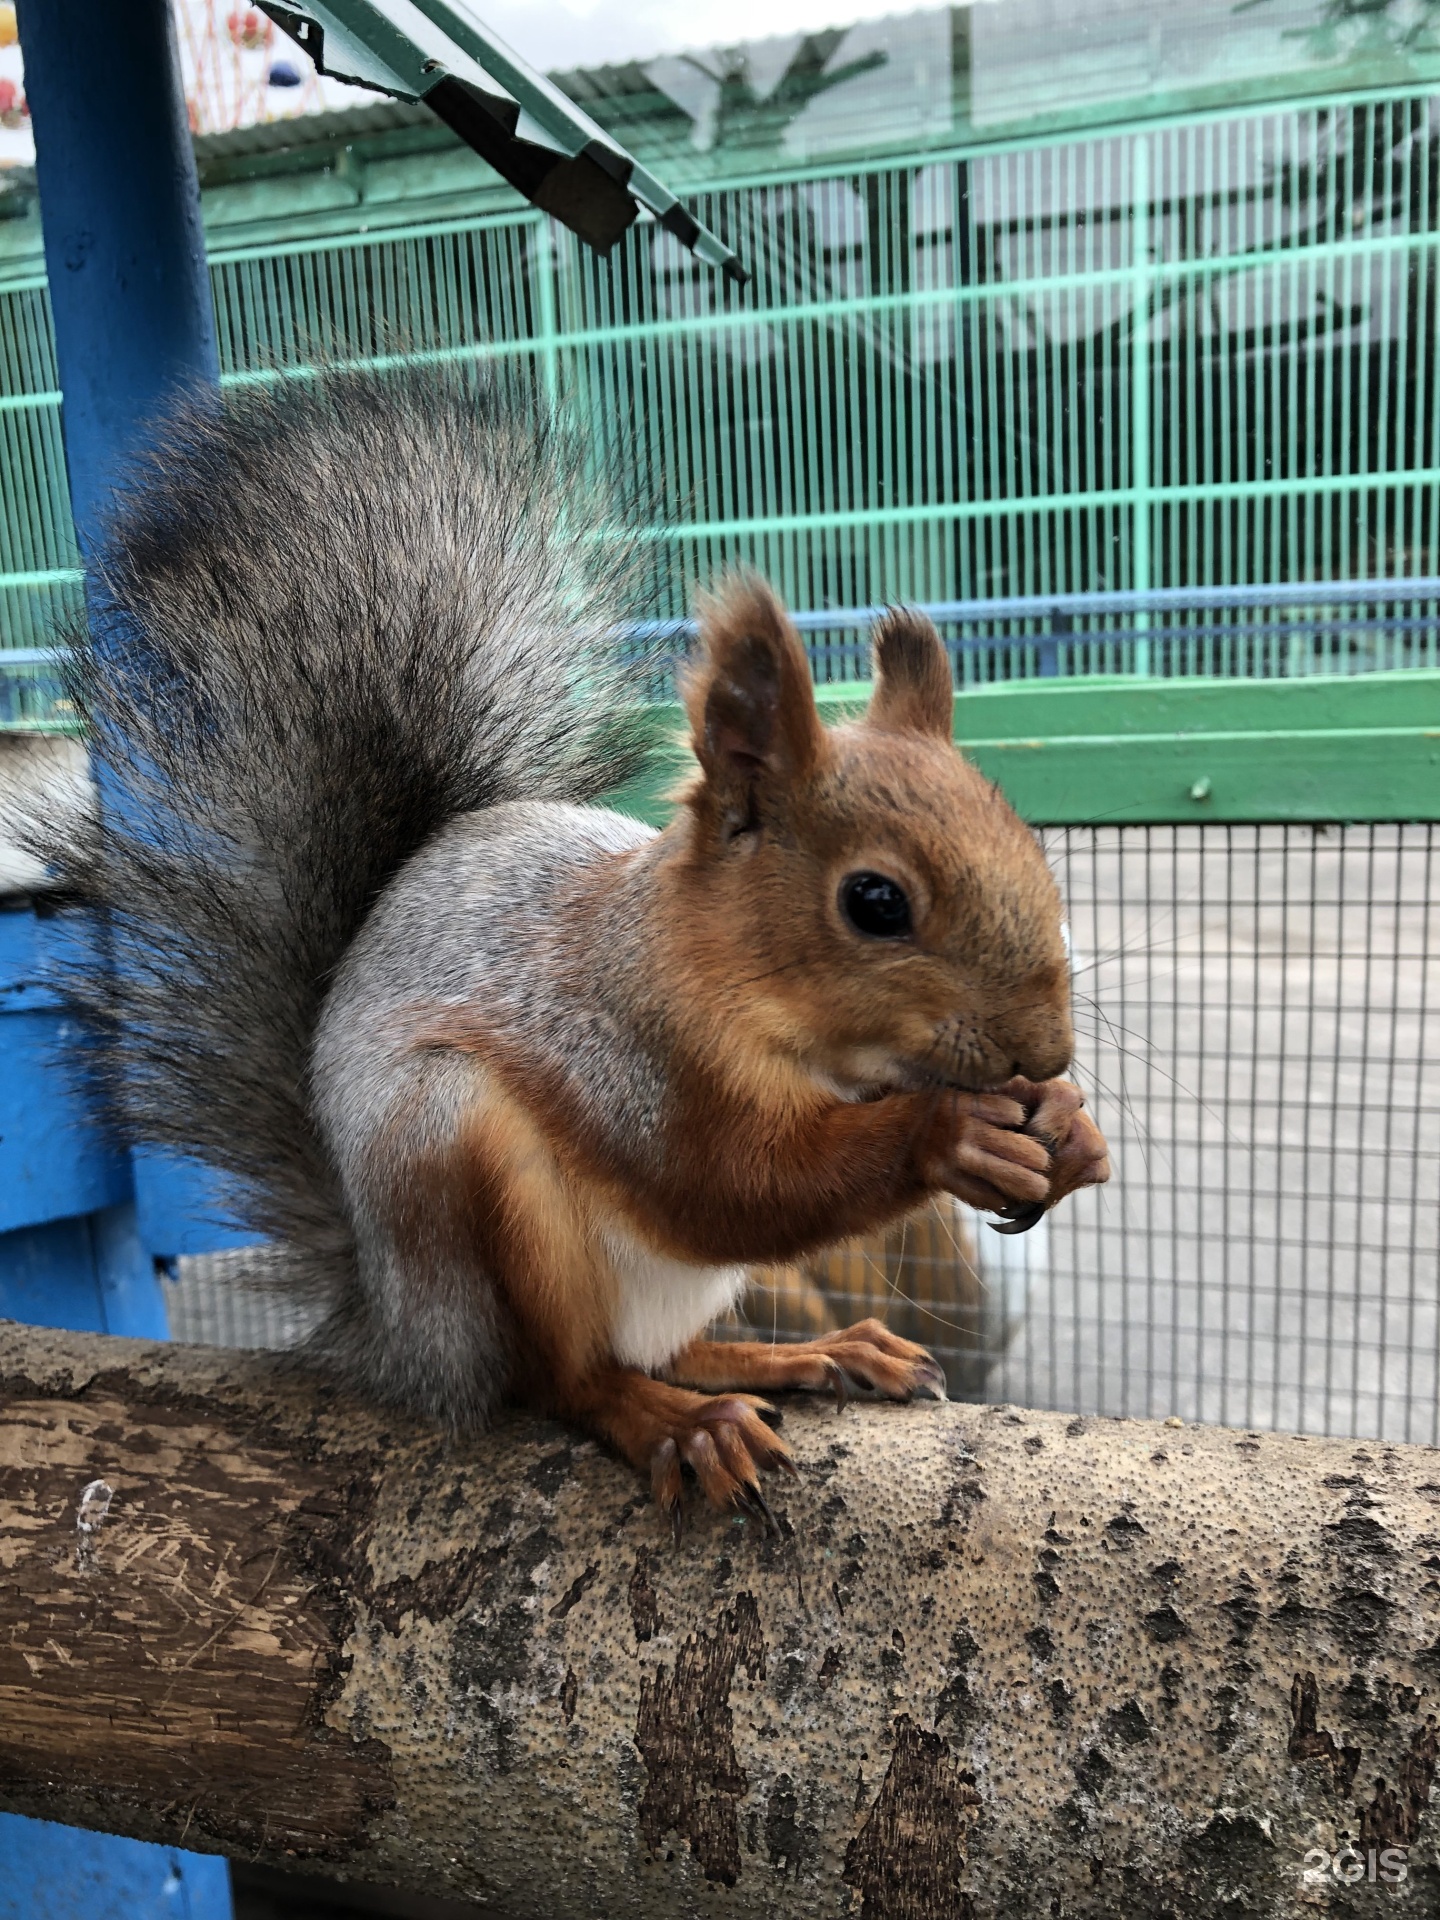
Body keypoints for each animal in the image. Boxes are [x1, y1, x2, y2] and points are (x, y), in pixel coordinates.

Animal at [42, 366, 1105, 1520]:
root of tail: (404, 1330)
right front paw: (950, 1135)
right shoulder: (627, 1055)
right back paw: (680, 1423)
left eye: (1026, 841)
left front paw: (1068, 1128)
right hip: (467, 1171)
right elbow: (734, 1183)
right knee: (566, 1378)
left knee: (670, 1349)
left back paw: (805, 1355)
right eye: (874, 902)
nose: (1047, 1049)